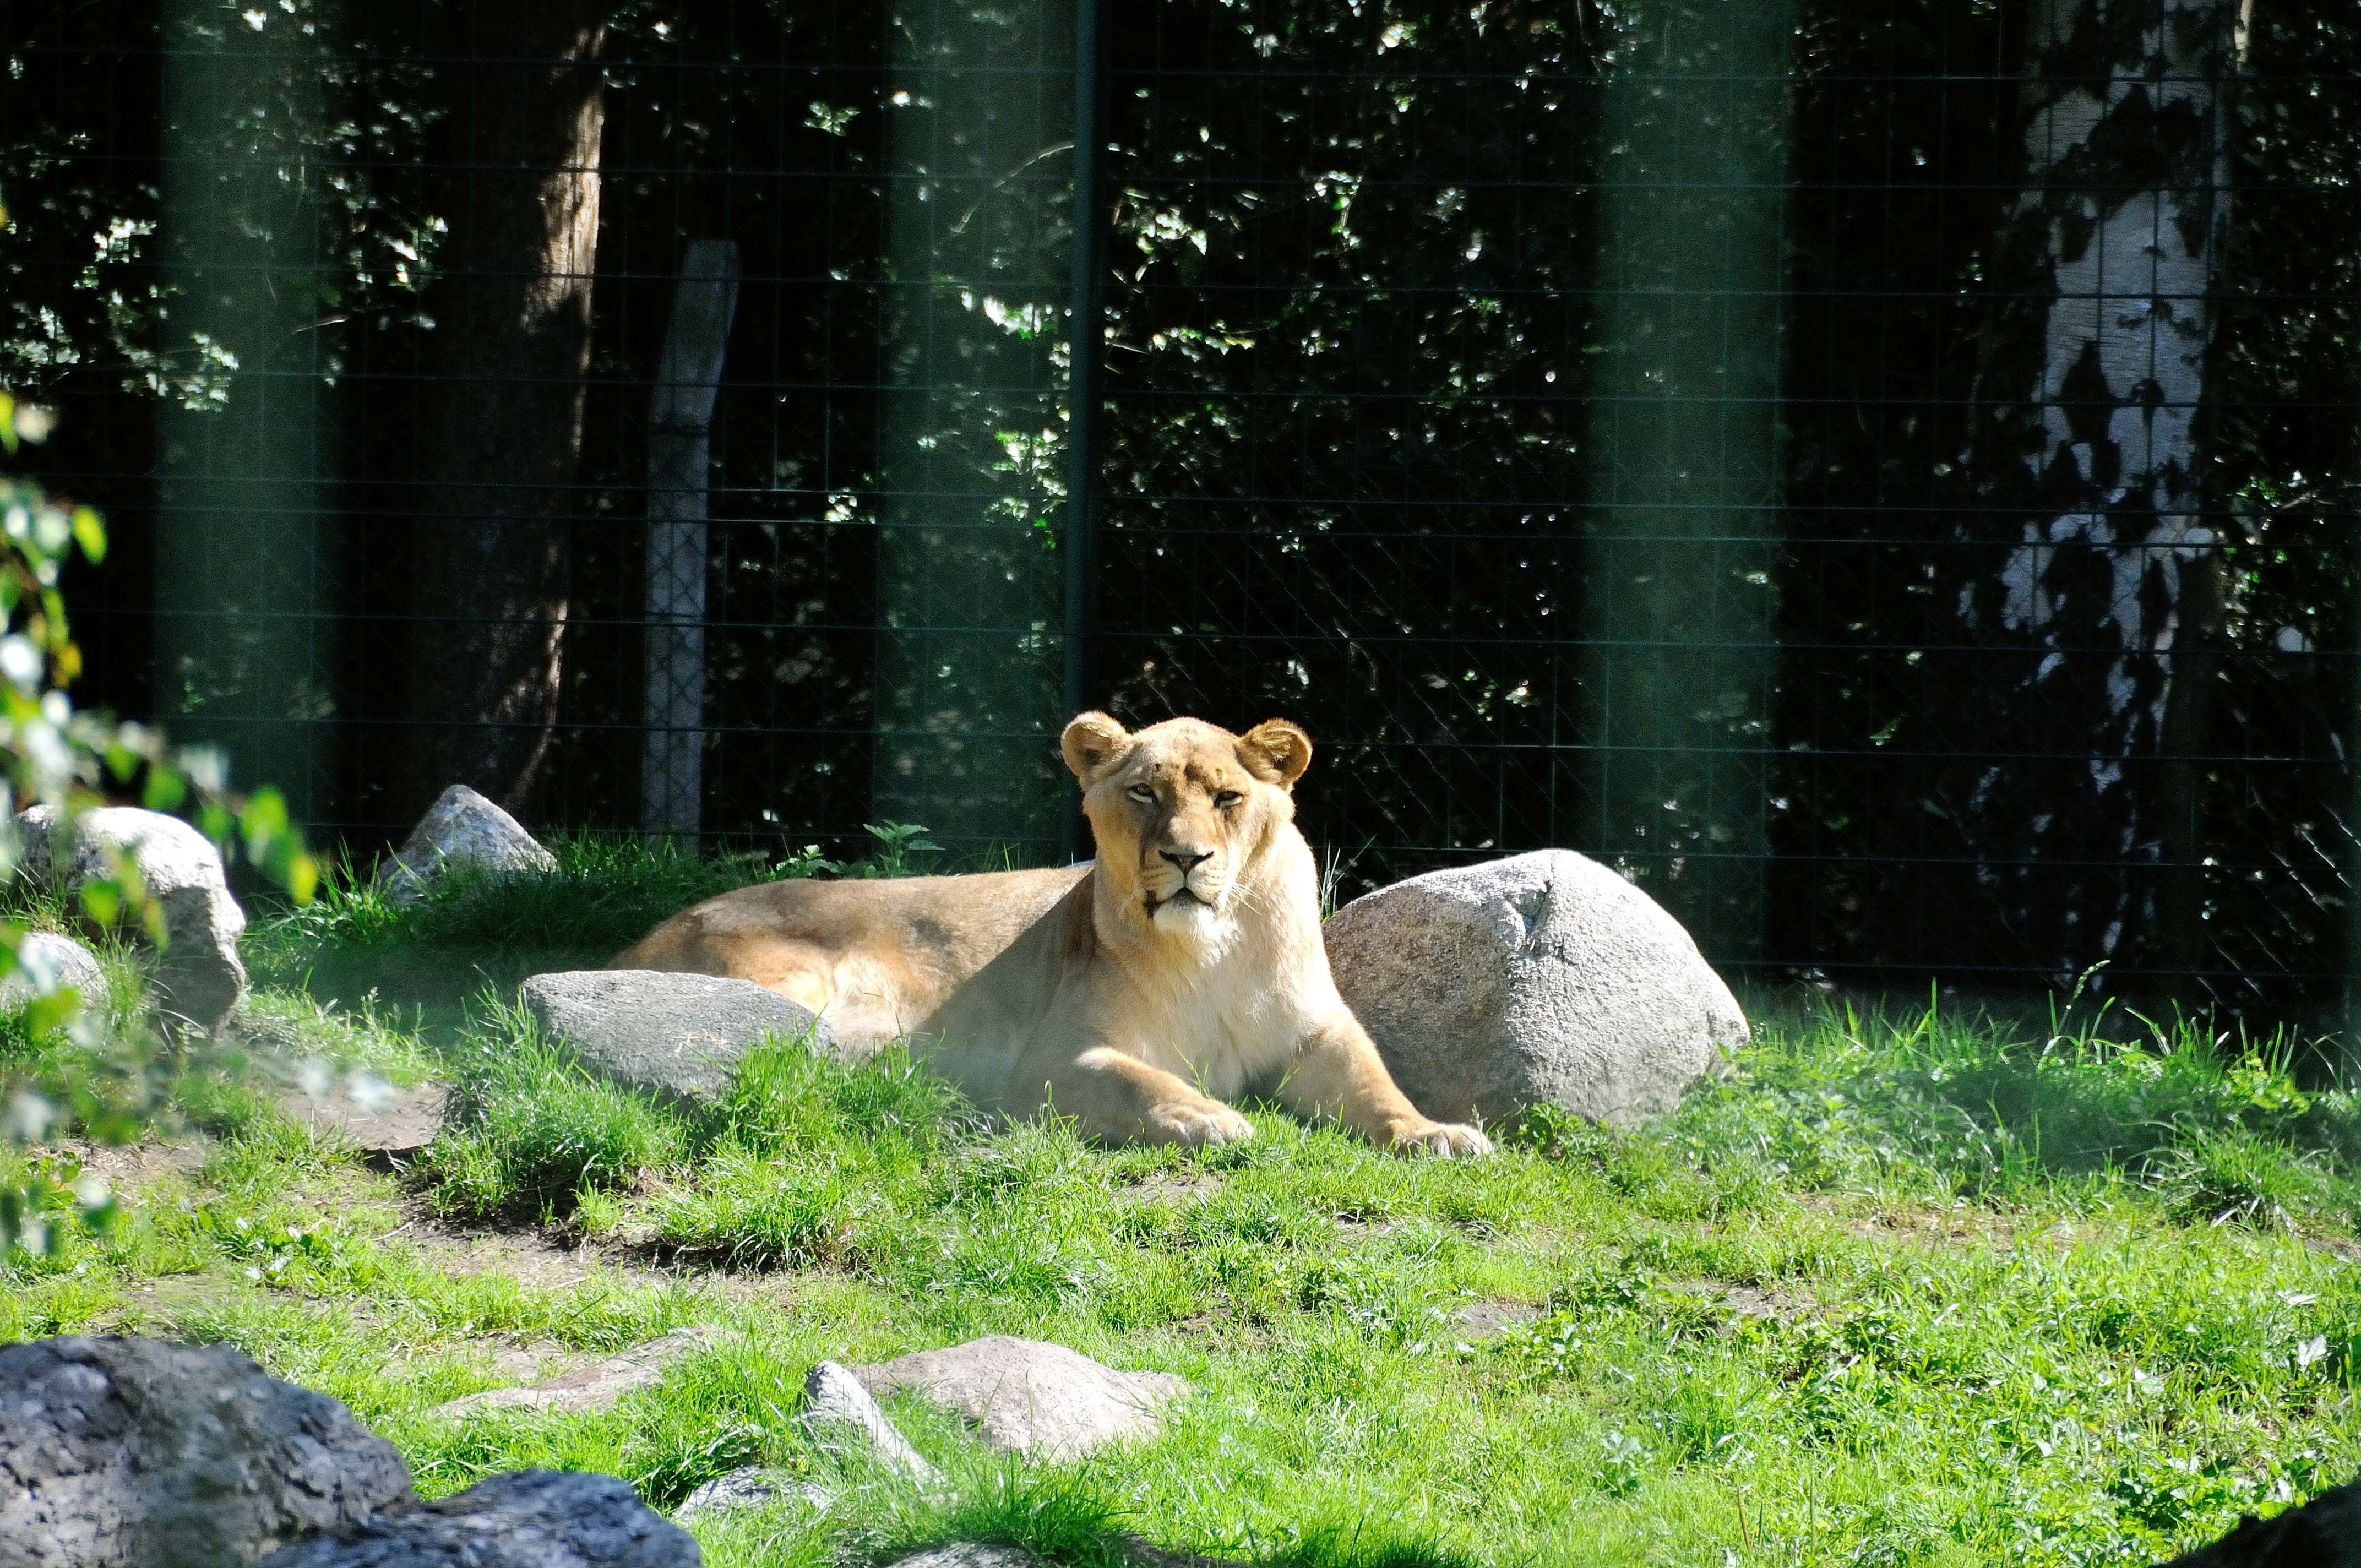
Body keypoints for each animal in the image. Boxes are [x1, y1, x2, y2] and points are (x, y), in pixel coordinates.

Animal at [610, 712, 1492, 1156]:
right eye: (1143, 792)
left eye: (1228, 798)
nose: (1186, 857)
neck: (1211, 950)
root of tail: (631, 949)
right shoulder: (1055, 1057)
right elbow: (1142, 1082)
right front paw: (1211, 1117)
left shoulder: (1316, 1033)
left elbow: (1378, 1086)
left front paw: (1437, 1133)